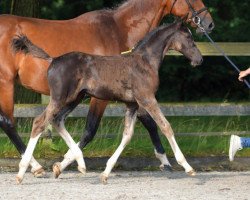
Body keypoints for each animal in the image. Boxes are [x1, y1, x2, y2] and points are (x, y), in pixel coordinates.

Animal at [0, 0, 214, 177]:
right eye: (189, 39)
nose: (208, 23)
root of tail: (53, 60)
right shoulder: (131, 98)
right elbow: (93, 130)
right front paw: (181, 164)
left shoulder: (133, 101)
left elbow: (137, 129)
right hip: (14, 86)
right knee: (20, 122)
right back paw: (32, 168)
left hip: (72, 98)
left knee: (53, 120)